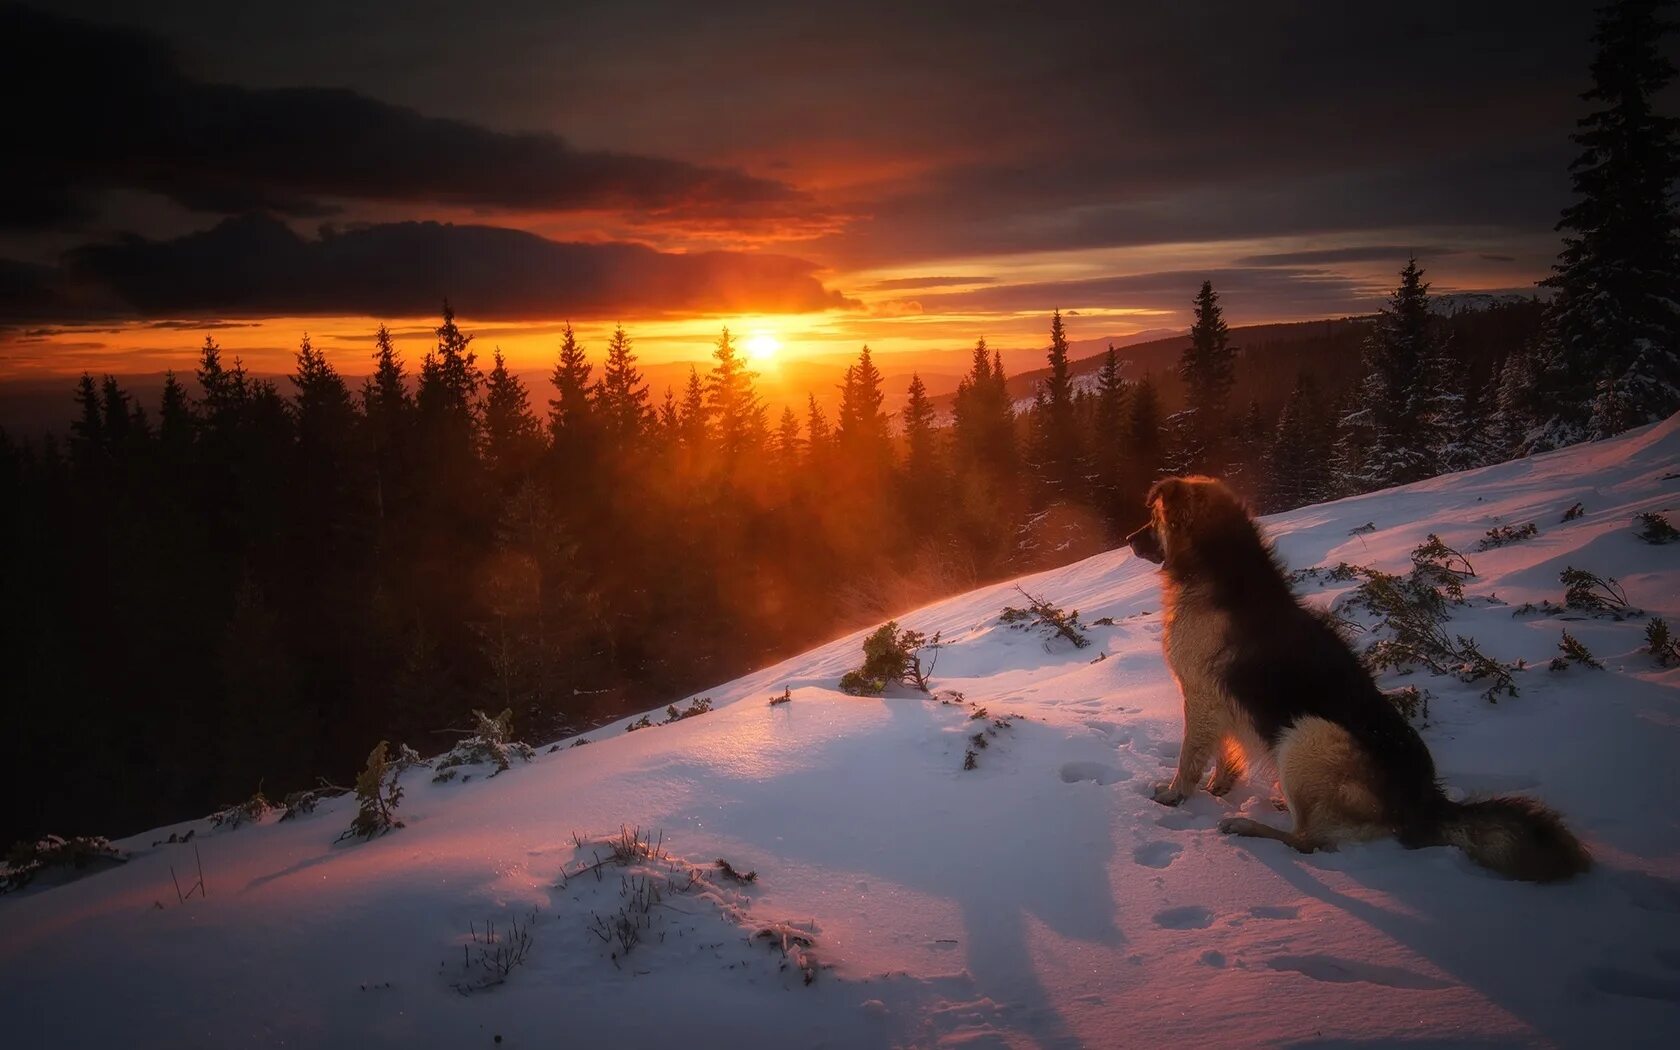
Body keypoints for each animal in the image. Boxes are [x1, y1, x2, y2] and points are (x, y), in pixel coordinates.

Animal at [1128, 480, 1585, 880]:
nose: (1130, 539)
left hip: (1307, 734)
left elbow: (1191, 755)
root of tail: (1427, 802)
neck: (1218, 569)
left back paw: (1249, 828)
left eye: (1151, 518)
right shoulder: (1220, 700)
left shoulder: (1201, 694)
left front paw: (1175, 795)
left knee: (1307, 840)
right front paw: (1219, 786)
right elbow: (1224, 750)